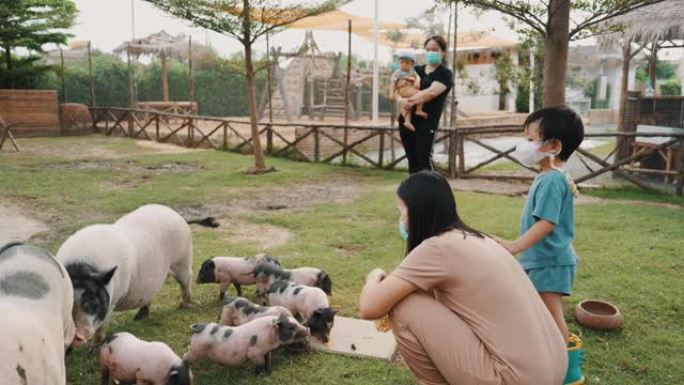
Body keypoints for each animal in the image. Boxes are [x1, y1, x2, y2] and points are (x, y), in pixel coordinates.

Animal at [56, 202, 216, 344]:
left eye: (93, 304)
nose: (77, 335)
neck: (79, 267)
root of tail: (179, 216)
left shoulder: (112, 302)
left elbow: (101, 329)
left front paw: (94, 349)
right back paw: (139, 317)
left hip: (183, 260)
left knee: (186, 284)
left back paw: (183, 307)